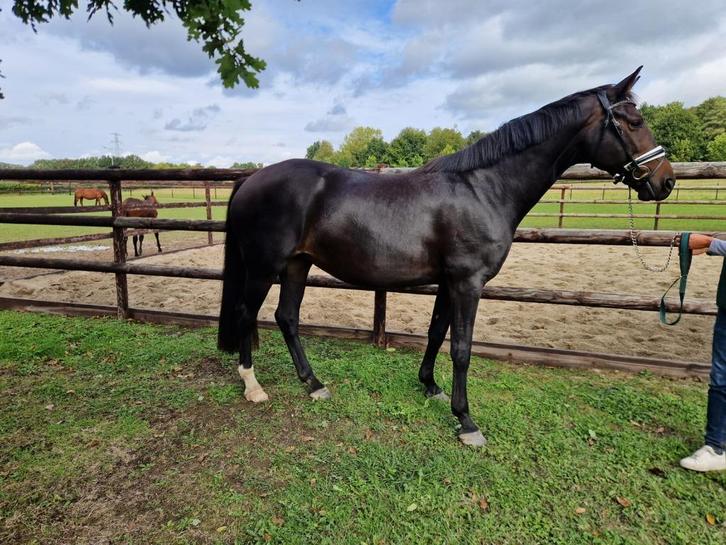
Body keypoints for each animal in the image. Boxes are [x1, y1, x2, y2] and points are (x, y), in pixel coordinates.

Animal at [218, 68, 676, 446]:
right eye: (634, 122)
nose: (666, 182)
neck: (484, 188)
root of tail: (251, 178)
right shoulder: (468, 283)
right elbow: (462, 348)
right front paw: (467, 422)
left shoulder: (448, 282)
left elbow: (437, 333)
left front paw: (431, 388)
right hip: (264, 267)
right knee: (246, 313)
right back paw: (253, 387)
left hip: (298, 264)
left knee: (287, 318)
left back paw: (313, 383)